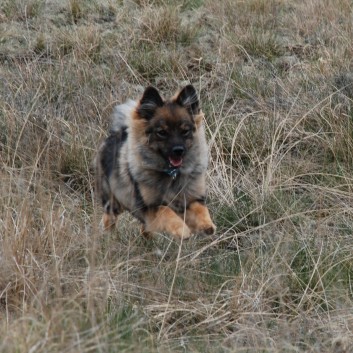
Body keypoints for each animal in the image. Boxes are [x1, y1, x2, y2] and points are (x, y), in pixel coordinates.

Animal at [95, 85, 214, 239]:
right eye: (162, 133)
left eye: (185, 131)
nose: (178, 150)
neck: (171, 174)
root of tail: (116, 133)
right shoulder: (150, 206)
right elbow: (166, 211)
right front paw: (182, 230)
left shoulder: (191, 198)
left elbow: (200, 209)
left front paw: (207, 225)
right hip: (113, 201)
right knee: (108, 217)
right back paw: (108, 235)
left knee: (144, 228)